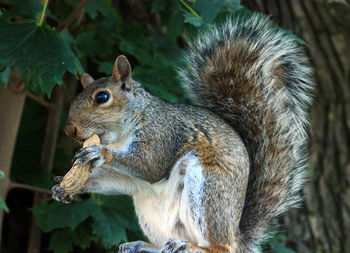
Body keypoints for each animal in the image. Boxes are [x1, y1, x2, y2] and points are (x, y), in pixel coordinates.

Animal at [52, 12, 314, 252]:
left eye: (102, 97)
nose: (69, 130)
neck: (122, 134)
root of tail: (237, 238)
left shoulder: (162, 133)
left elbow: (150, 165)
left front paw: (100, 154)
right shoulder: (132, 181)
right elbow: (117, 179)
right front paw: (63, 187)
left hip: (208, 187)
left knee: (220, 247)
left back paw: (192, 246)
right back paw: (144, 245)